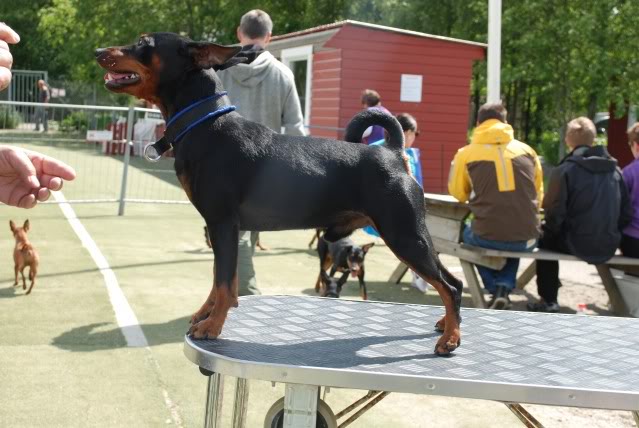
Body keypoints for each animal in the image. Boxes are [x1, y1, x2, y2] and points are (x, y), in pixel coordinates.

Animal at [95, 32, 462, 354]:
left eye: (144, 43)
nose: (98, 51)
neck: (205, 125)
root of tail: (393, 152)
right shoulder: (220, 228)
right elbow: (219, 279)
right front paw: (205, 313)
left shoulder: (223, 223)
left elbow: (225, 283)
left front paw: (212, 326)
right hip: (408, 236)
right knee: (448, 282)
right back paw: (445, 325)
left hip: (405, 235)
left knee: (450, 285)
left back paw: (451, 339)